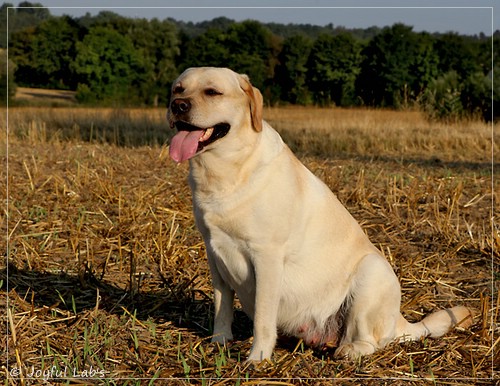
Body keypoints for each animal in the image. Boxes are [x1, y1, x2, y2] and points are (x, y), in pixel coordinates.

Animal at [168, 67, 472, 362]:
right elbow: (223, 306)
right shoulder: (214, 253)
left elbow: (263, 319)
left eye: (212, 92)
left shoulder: (267, 257)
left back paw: (349, 350)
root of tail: (399, 321)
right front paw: (220, 341)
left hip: (372, 271)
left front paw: (258, 358)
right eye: (178, 89)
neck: (226, 171)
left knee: (369, 340)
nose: (177, 105)